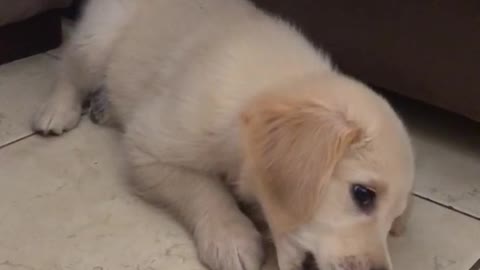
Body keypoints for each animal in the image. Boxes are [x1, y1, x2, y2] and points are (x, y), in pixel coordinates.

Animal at [33, 0, 414, 270]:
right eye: (362, 194)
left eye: (393, 219)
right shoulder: (150, 145)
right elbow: (203, 189)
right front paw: (232, 238)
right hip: (99, 37)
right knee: (69, 68)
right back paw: (57, 111)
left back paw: (104, 106)